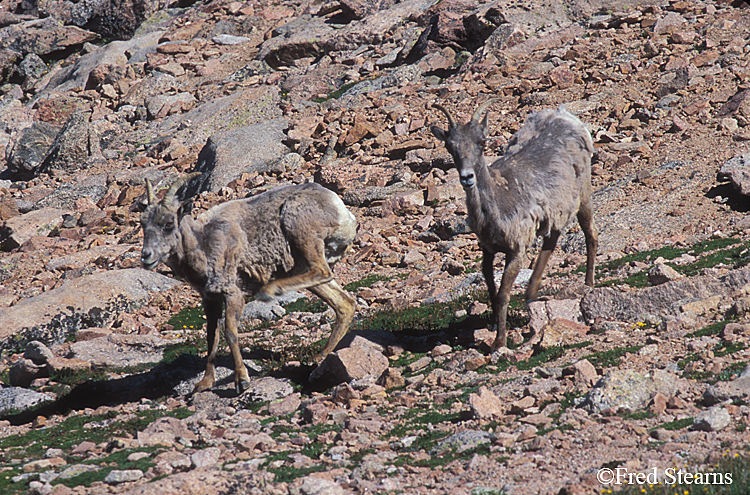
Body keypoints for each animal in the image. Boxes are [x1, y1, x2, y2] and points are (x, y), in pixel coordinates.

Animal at [140, 174, 358, 396]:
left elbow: (230, 333)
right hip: (305, 268)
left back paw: (271, 290)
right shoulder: (210, 299)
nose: (146, 256)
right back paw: (319, 356)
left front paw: (241, 380)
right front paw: (205, 383)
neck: (203, 245)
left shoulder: (234, 294)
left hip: (300, 230)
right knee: (343, 303)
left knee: (321, 271)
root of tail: (343, 212)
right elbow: (212, 336)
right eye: (142, 223)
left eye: (168, 224)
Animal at [434, 101, 600, 350]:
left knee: (591, 233)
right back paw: (531, 293)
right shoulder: (488, 250)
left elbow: (503, 293)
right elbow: (491, 288)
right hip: (555, 210)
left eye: (481, 142)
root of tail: (564, 115)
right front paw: (494, 324)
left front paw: (499, 342)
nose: (467, 177)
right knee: (552, 239)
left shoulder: (515, 253)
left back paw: (588, 284)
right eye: (449, 146)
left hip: (583, 196)